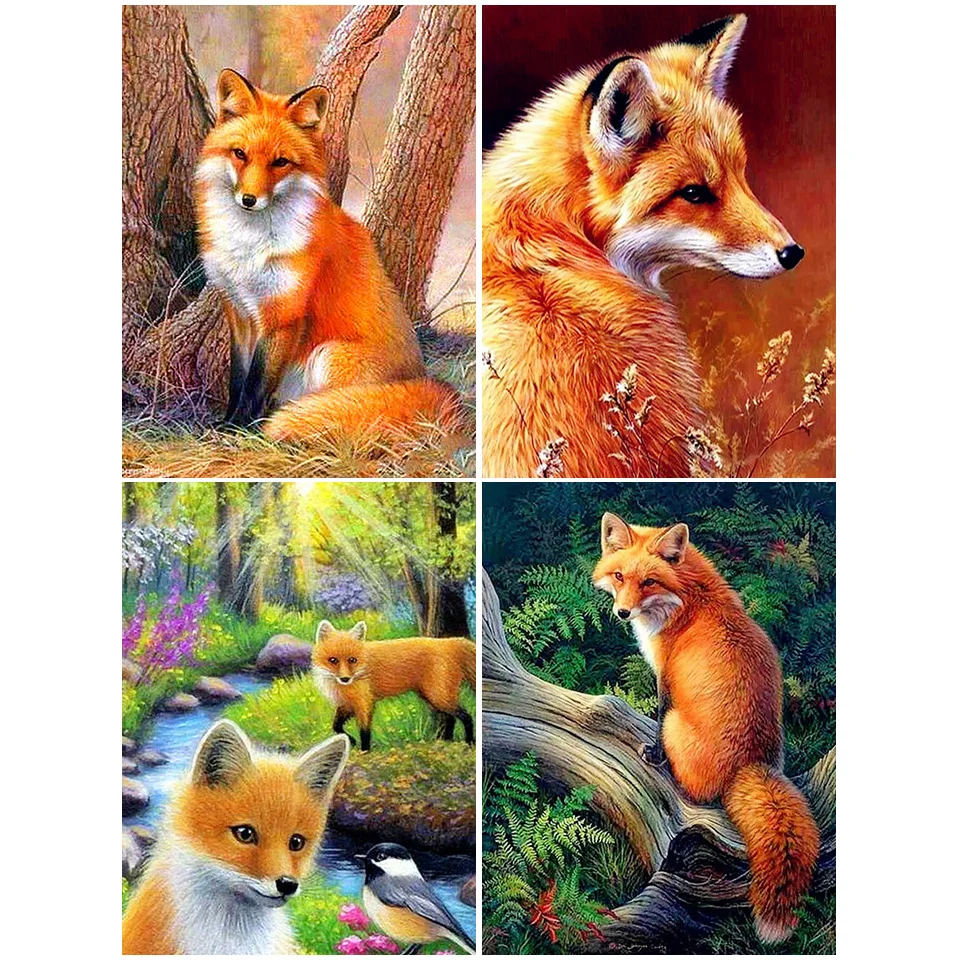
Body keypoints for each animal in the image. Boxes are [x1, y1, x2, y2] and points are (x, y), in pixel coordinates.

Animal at [194, 69, 463, 445]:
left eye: (280, 162)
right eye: (240, 154)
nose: (249, 199)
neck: (249, 245)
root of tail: (423, 379)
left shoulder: (283, 314)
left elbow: (256, 384)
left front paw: (241, 430)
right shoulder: (239, 311)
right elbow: (238, 379)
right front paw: (226, 423)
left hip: (329, 355)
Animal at [312, 619, 476, 751]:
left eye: (352, 660)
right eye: (333, 660)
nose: (345, 679)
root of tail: (449, 641)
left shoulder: (364, 702)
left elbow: (364, 731)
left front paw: (365, 751)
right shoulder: (347, 704)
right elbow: (336, 726)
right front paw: (351, 740)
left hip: (438, 697)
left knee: (466, 716)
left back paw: (469, 742)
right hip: (432, 697)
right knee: (450, 718)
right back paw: (446, 742)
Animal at [592, 513, 820, 943]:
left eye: (649, 581)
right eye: (619, 576)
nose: (623, 613)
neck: (690, 598)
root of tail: (752, 763)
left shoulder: (665, 677)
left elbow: (658, 716)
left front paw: (653, 754)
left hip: (678, 727)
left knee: (692, 791)